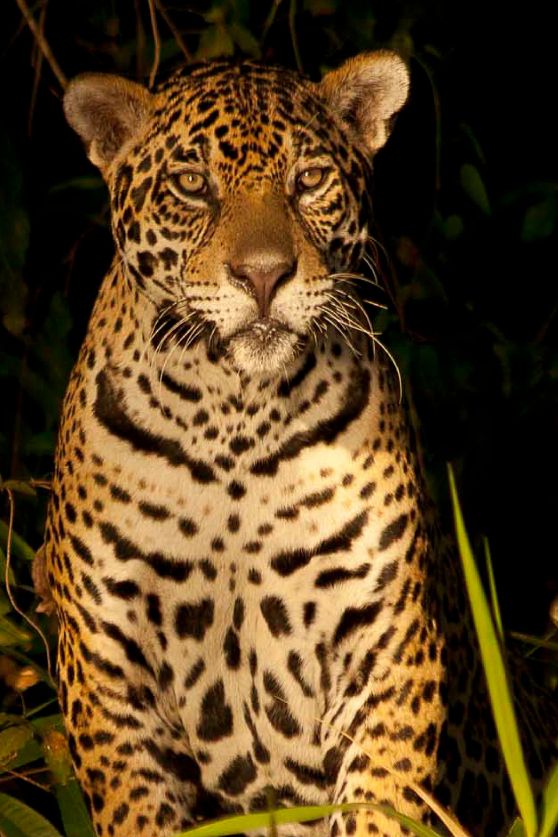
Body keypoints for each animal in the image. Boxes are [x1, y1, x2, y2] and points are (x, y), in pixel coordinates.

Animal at [41, 51, 557, 837]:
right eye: (193, 185)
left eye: (308, 180)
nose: (262, 274)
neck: (233, 417)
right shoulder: (109, 664)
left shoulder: (386, 641)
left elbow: (380, 800)